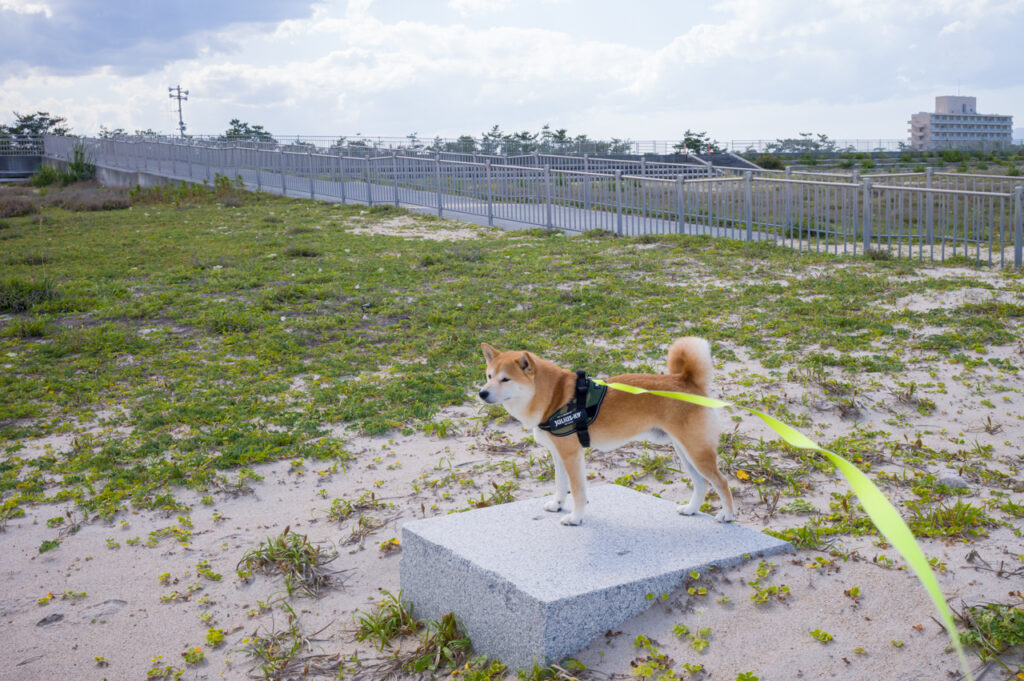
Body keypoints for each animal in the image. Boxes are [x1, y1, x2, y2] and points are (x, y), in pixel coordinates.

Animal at [475, 337, 733, 524]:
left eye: (505, 379)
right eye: (489, 376)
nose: (482, 393)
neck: (553, 396)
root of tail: (687, 381)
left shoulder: (572, 456)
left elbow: (578, 491)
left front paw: (575, 518)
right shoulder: (558, 455)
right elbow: (560, 485)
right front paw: (557, 505)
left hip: (696, 452)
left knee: (721, 482)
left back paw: (727, 515)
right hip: (684, 451)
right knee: (701, 483)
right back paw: (691, 509)